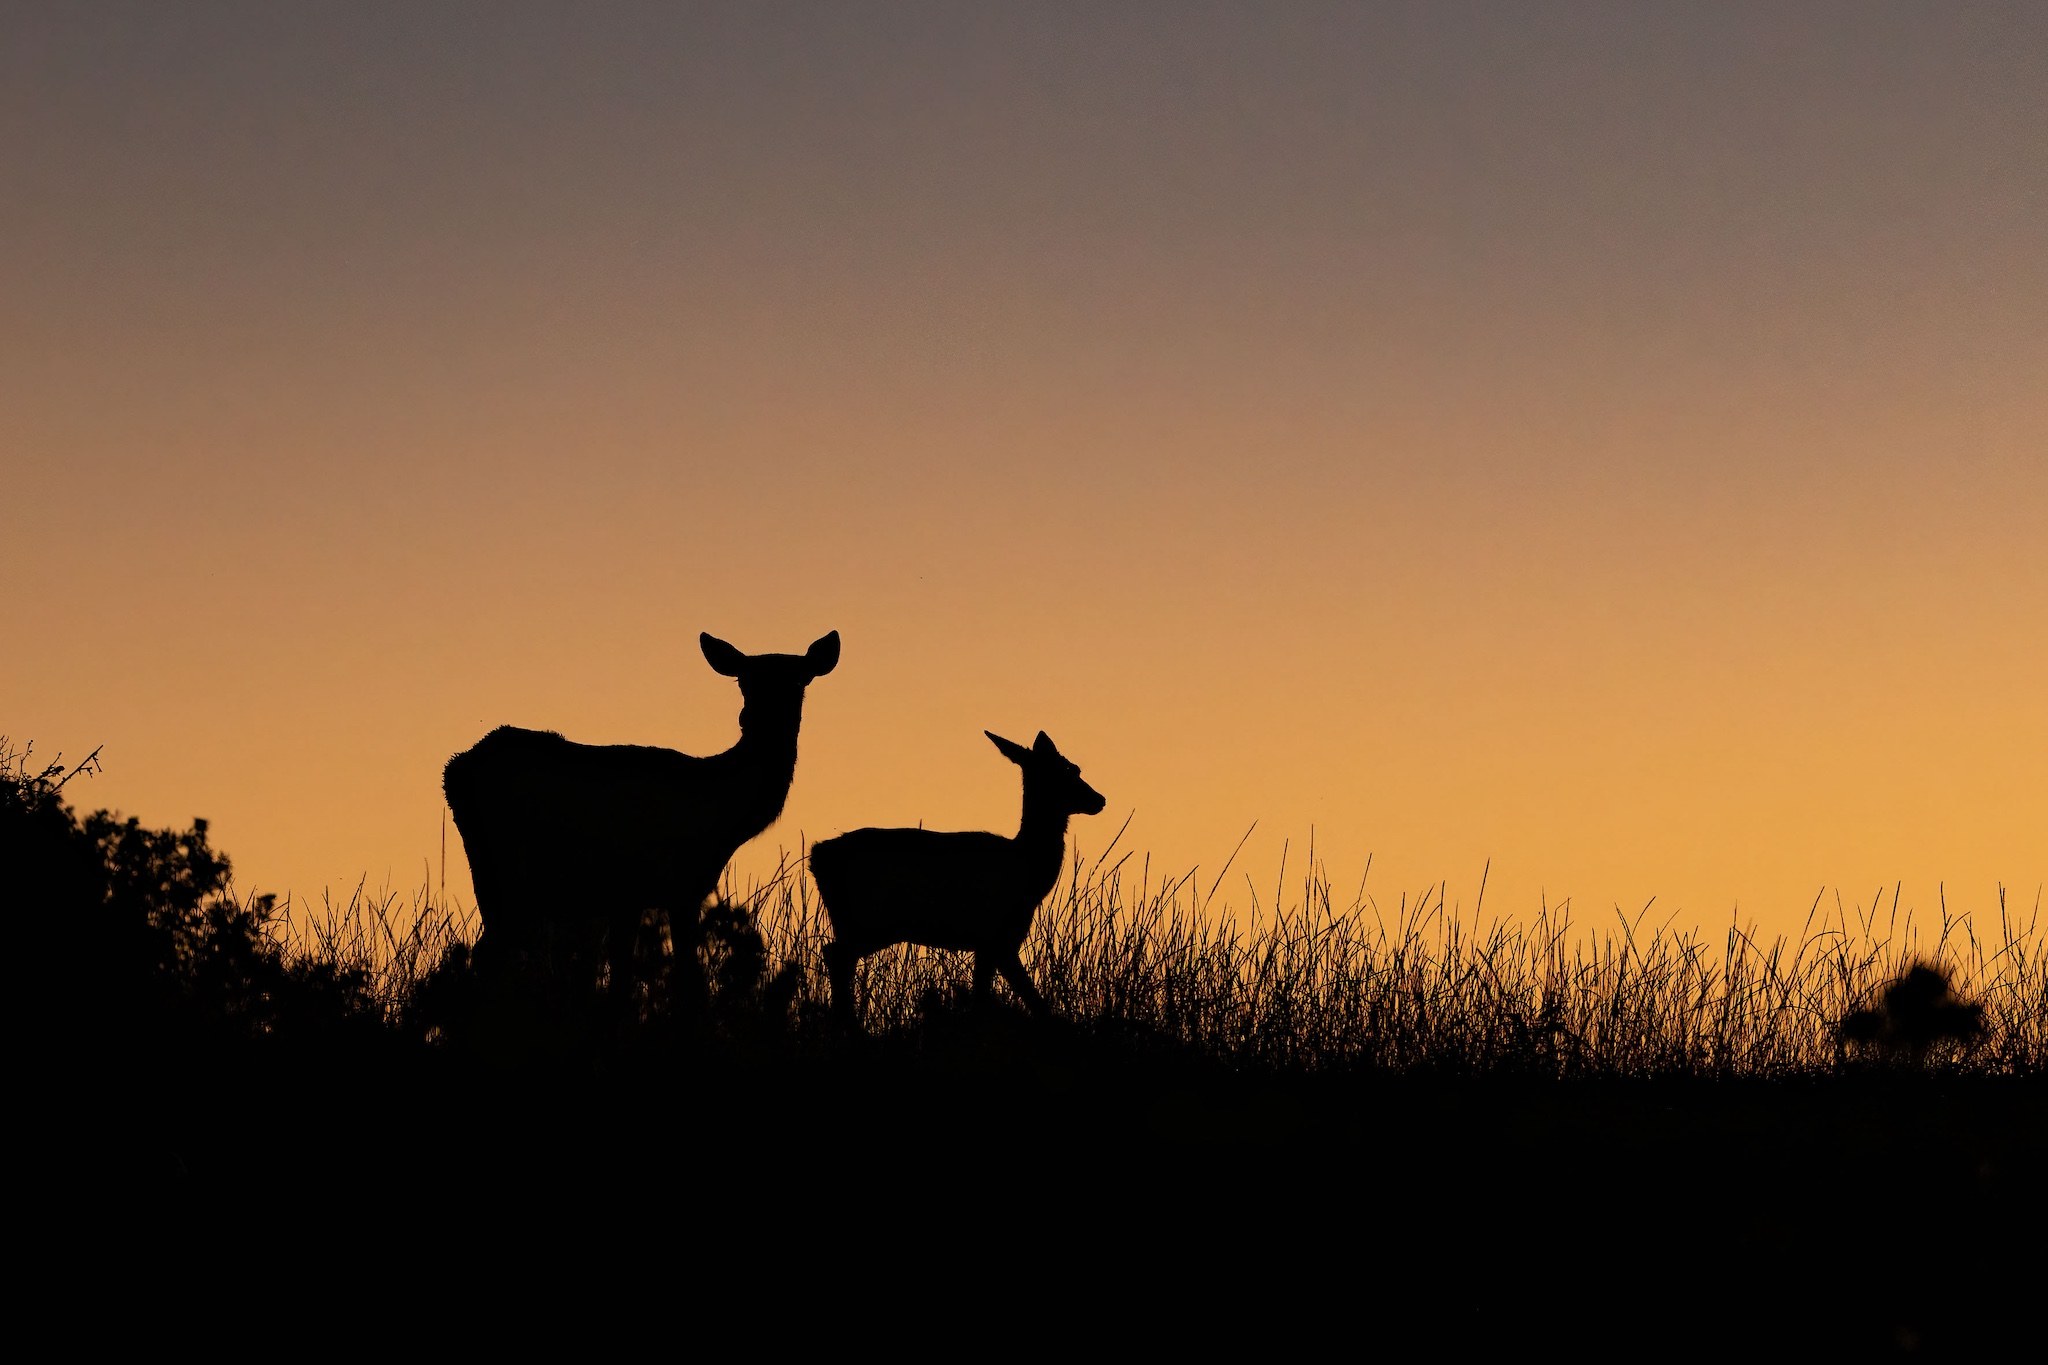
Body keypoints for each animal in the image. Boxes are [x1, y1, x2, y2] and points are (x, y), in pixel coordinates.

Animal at [442, 630, 839, 1008]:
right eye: (743, 680)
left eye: (800, 680)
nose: (752, 718)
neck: (722, 816)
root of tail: (457, 769)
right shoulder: (677, 884)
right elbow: (685, 978)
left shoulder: (628, 894)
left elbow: (622, 976)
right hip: (511, 866)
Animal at [808, 729, 1105, 1030]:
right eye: (1070, 770)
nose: (1099, 799)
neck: (1028, 873)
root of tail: (818, 856)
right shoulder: (999, 934)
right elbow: (1026, 998)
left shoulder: (989, 942)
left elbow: (985, 996)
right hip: (872, 918)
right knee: (836, 955)